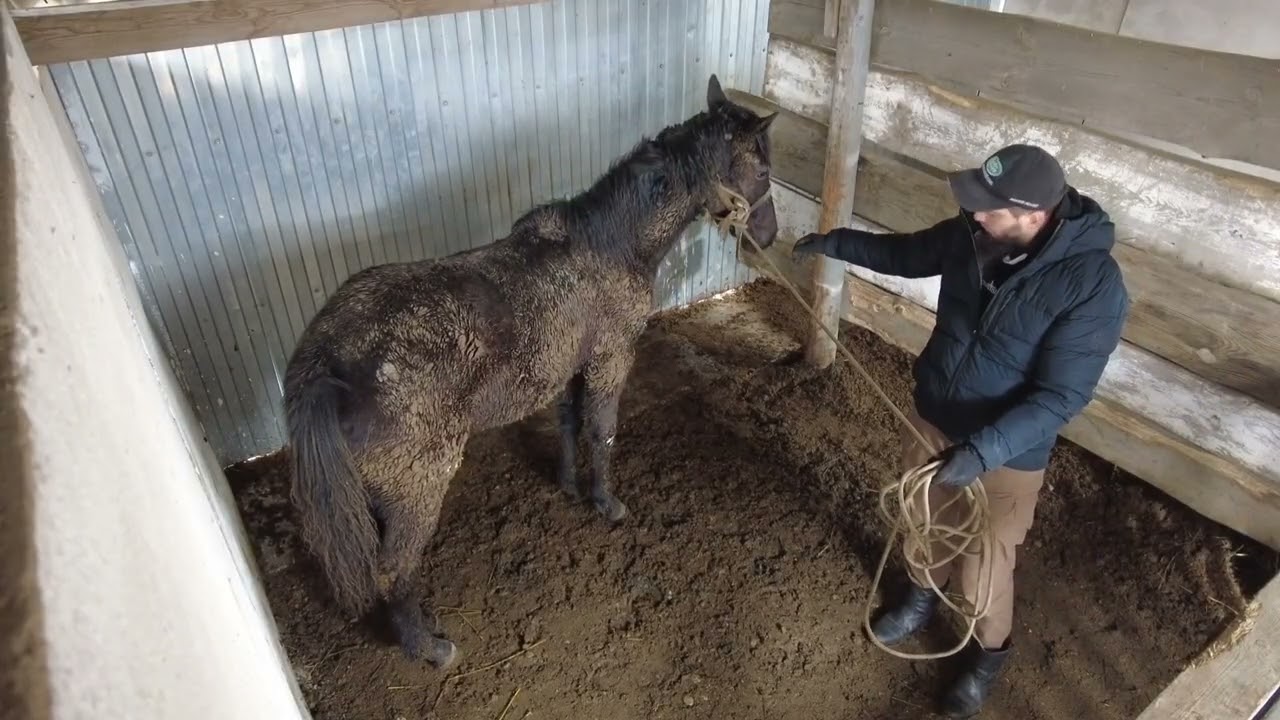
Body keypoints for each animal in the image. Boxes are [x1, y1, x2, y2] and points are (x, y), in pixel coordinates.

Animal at [283, 74, 779, 667]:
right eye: (764, 170)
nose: (769, 237)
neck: (610, 245)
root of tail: (324, 361)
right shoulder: (612, 358)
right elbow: (602, 431)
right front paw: (606, 503)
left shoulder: (569, 367)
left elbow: (567, 424)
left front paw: (567, 485)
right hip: (417, 486)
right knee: (393, 567)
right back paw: (429, 647)